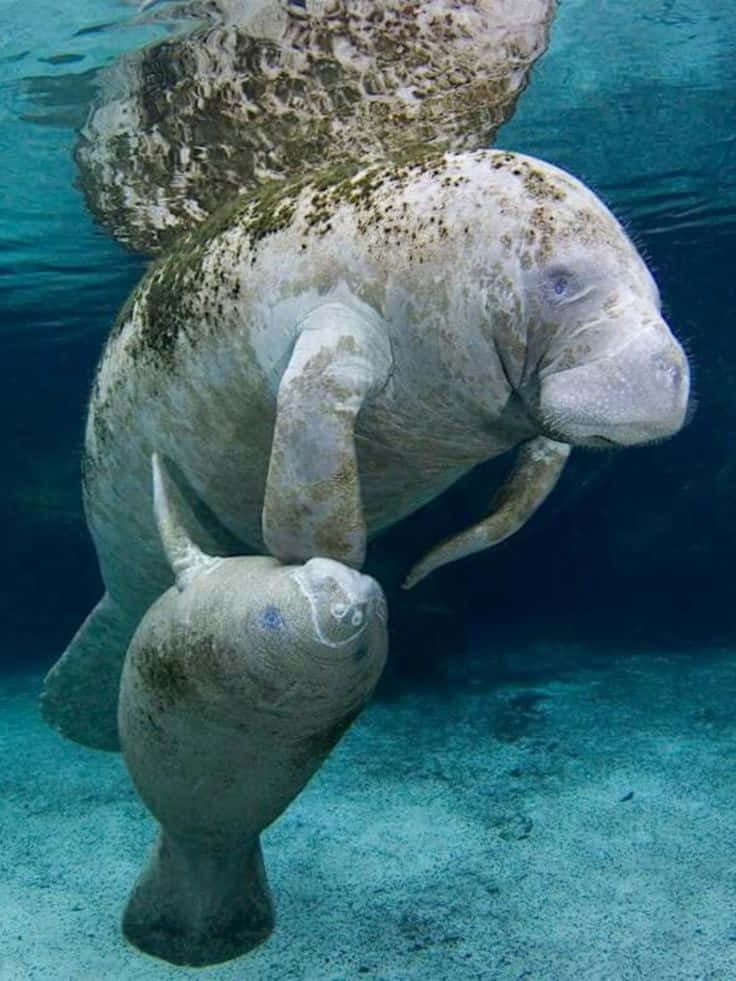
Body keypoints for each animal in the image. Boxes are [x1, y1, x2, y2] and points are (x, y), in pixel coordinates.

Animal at [43, 147, 688, 752]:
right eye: (561, 281)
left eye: (658, 296)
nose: (667, 373)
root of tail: (121, 600)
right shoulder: (335, 332)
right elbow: (313, 471)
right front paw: (326, 581)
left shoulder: (539, 405)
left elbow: (515, 504)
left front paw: (420, 570)